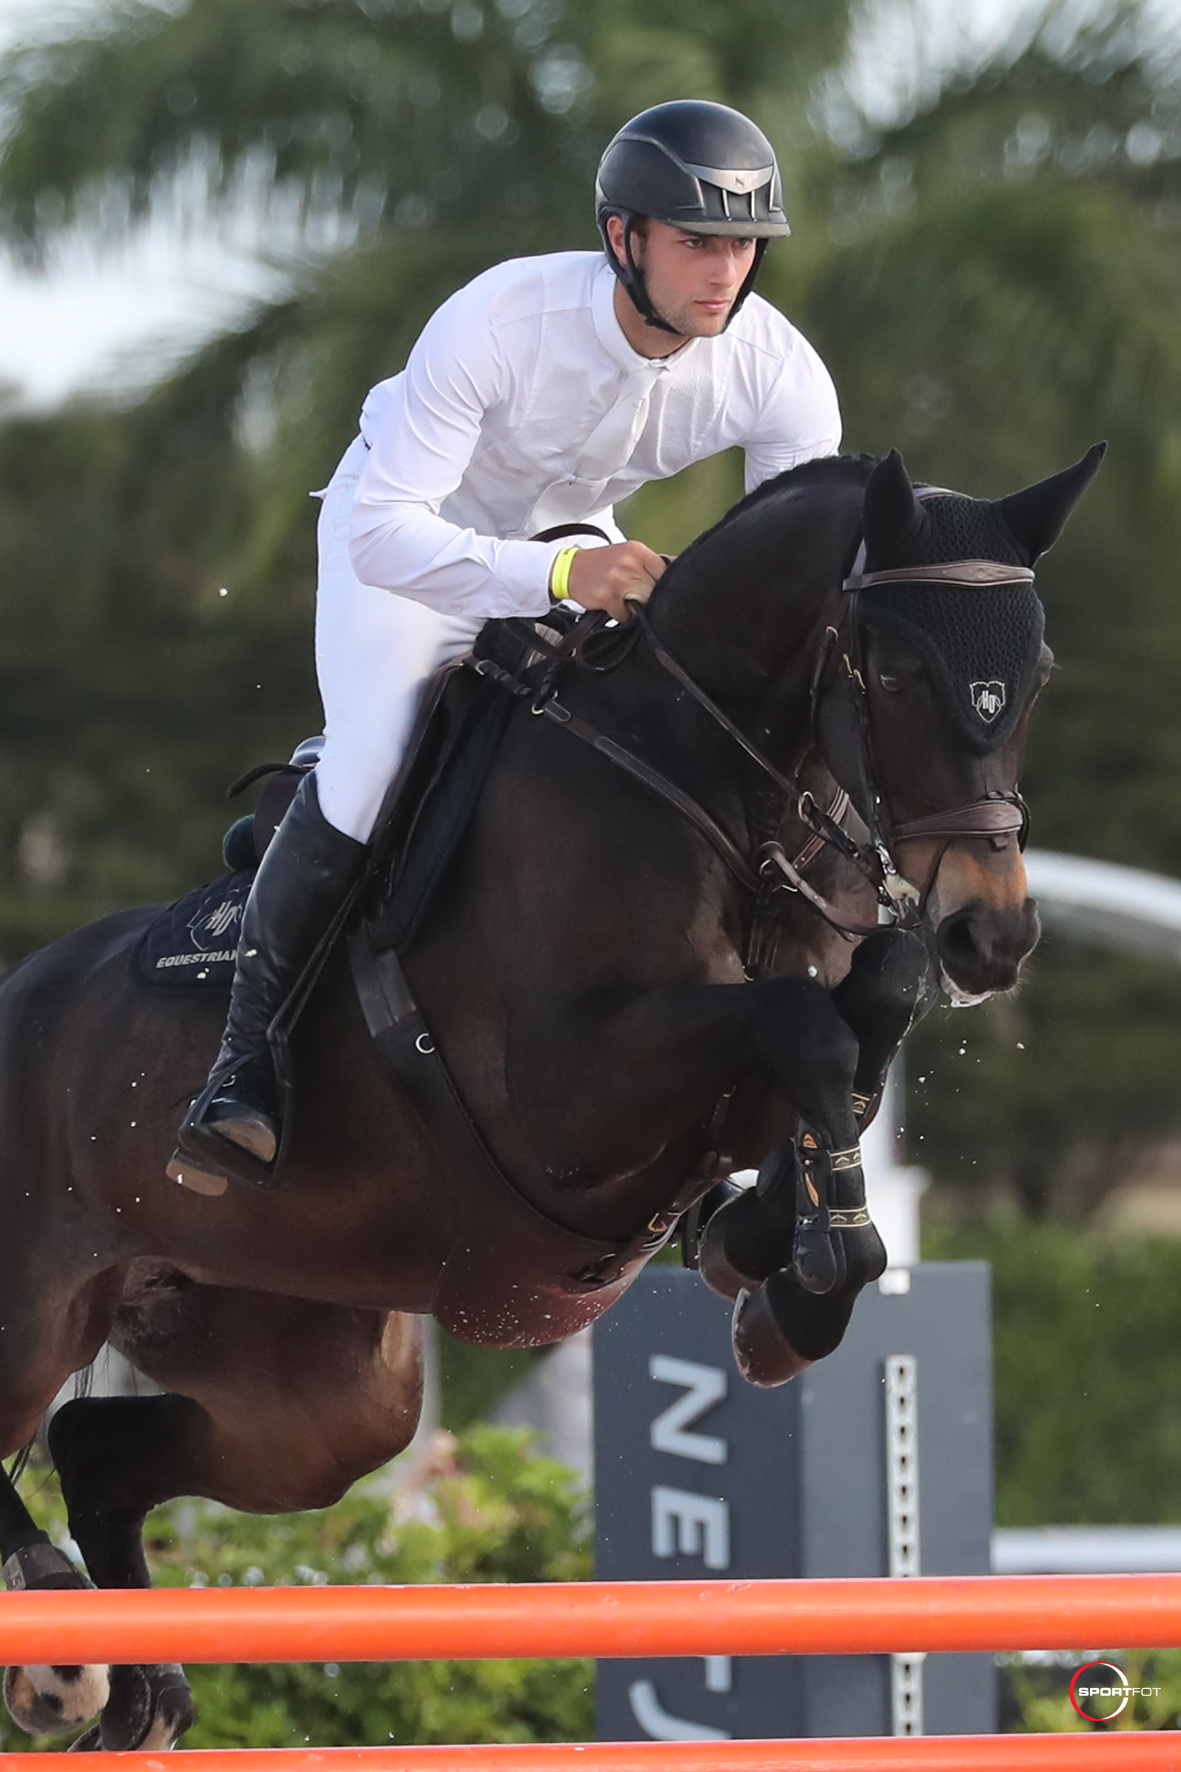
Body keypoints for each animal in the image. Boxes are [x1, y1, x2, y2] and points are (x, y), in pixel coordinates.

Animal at [0, 443, 1092, 1743]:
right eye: (892, 670)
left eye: (1031, 674)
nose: (991, 932)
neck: (710, 788)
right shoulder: (569, 1101)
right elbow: (801, 1026)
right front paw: (818, 1265)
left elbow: (858, 1007)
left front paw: (769, 1264)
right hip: (36, 1307)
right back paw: (59, 1645)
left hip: (314, 1388)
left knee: (94, 1443)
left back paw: (139, 1681)